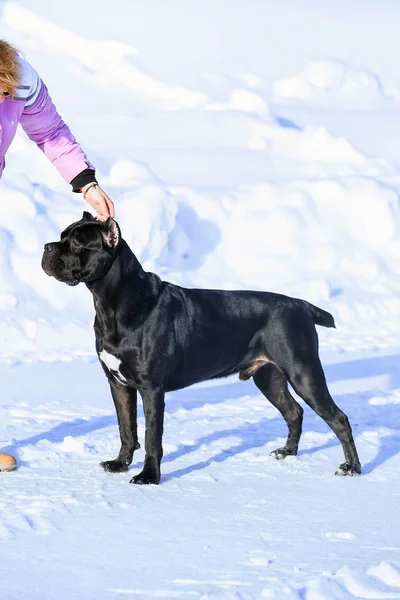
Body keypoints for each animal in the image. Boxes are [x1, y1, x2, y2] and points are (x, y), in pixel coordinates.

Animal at [41, 213, 362, 486]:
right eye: (63, 235)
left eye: (77, 242)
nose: (46, 247)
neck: (113, 302)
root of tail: (302, 306)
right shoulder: (118, 384)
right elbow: (126, 429)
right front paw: (120, 464)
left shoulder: (151, 387)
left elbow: (151, 435)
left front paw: (149, 477)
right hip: (269, 377)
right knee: (294, 412)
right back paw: (287, 452)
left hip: (303, 372)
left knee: (338, 419)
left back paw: (351, 468)